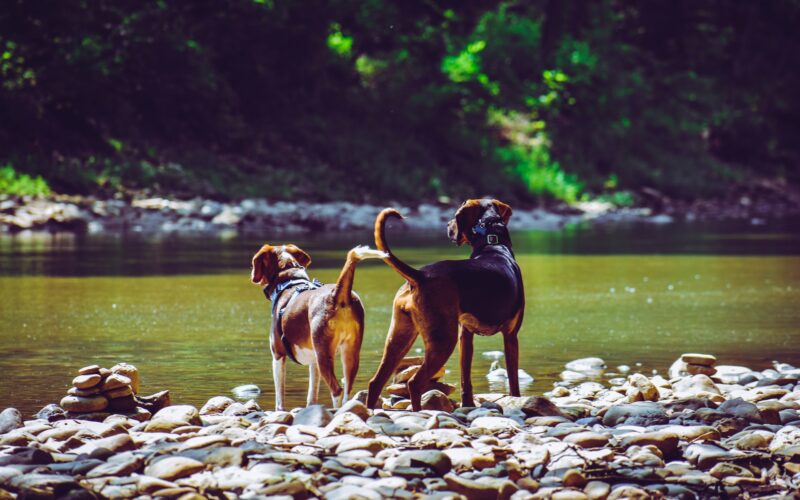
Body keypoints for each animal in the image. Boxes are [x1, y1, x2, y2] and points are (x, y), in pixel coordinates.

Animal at [252, 242, 386, 410]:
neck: (289, 280)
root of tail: (337, 294)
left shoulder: (278, 355)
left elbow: (280, 397)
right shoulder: (313, 361)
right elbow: (312, 394)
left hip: (324, 356)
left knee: (337, 390)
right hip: (350, 353)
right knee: (347, 390)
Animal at [368, 199, 524, 410]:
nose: (447, 225)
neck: (493, 244)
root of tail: (420, 275)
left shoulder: (465, 336)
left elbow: (466, 379)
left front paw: (468, 404)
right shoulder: (511, 336)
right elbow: (513, 380)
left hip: (399, 338)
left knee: (375, 382)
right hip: (443, 340)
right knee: (414, 383)